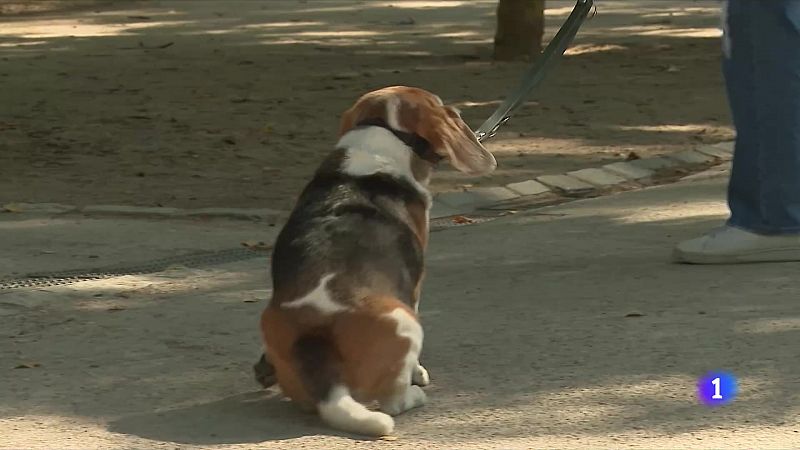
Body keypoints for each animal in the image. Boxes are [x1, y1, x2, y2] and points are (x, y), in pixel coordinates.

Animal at [258, 85, 494, 436]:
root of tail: (313, 331)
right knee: (392, 401)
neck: (382, 133)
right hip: (406, 322)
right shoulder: (415, 287)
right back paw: (413, 395)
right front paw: (418, 372)